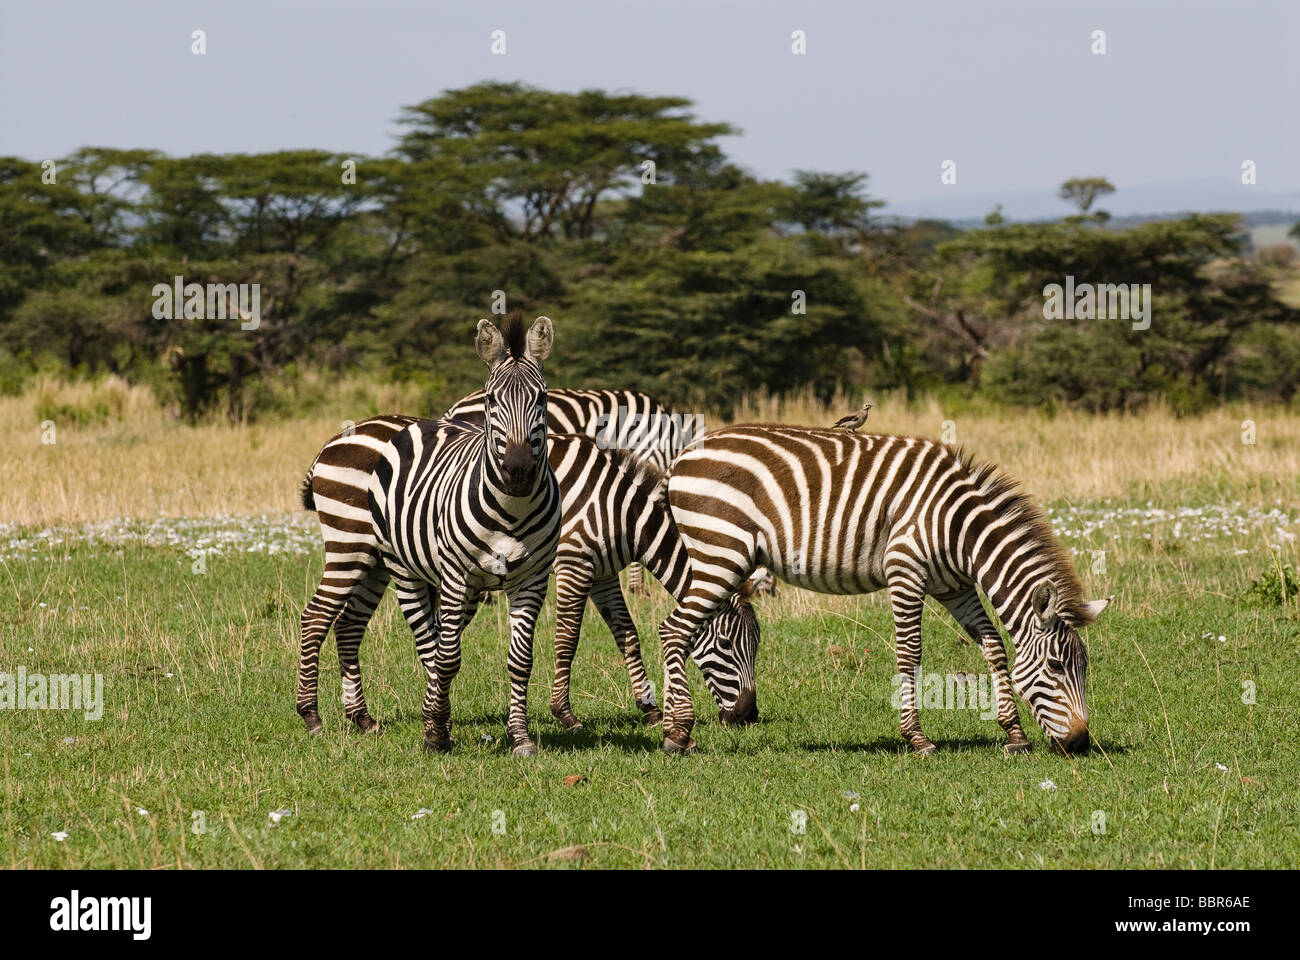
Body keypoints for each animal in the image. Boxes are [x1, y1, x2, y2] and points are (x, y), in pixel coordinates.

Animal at [296, 416, 759, 733]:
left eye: (756, 645)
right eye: (725, 643)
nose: (749, 715)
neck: (618, 510)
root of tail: (331, 443)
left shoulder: (605, 574)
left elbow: (627, 634)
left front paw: (649, 708)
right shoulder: (575, 564)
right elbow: (568, 639)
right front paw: (565, 714)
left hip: (377, 559)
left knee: (349, 625)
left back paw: (361, 717)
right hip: (351, 545)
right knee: (316, 616)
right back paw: (312, 715)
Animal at [297, 310, 561, 749]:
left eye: (541, 399)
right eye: (491, 400)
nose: (518, 471)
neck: (511, 511)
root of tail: (337, 438)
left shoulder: (533, 578)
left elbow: (520, 660)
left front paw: (519, 736)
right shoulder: (456, 574)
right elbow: (446, 655)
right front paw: (436, 730)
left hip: (377, 562)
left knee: (350, 624)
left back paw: (362, 718)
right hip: (351, 546)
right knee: (317, 617)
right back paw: (311, 715)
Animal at [655, 426, 1112, 754]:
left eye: (1085, 668)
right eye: (1056, 667)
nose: (1080, 743)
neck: (959, 529)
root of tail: (684, 454)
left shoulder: (956, 588)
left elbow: (994, 648)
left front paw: (1013, 734)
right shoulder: (905, 572)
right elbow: (910, 653)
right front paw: (917, 738)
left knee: (677, 631)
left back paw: (673, 725)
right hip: (721, 554)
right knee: (673, 631)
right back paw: (677, 733)